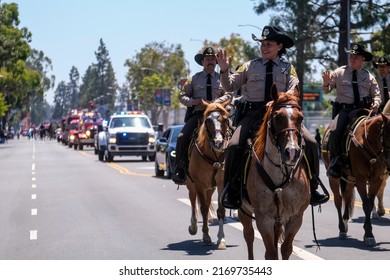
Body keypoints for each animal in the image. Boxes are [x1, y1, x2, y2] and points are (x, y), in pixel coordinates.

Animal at [187, 99, 232, 249]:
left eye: (225, 120)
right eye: (208, 121)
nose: (218, 142)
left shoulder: (221, 183)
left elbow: (220, 211)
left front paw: (221, 239)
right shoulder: (199, 183)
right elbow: (204, 210)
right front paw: (206, 236)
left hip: (210, 187)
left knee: (205, 202)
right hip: (191, 184)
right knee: (193, 201)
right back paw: (193, 227)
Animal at [239, 86, 310, 260]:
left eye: (301, 117)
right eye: (277, 117)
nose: (292, 152)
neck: (280, 173)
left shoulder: (295, 217)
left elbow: (286, 249)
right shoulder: (263, 218)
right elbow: (271, 253)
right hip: (244, 210)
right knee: (249, 235)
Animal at [322, 107, 390, 245]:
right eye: (387, 134)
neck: (367, 141)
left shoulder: (376, 179)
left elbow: (370, 202)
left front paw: (367, 232)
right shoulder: (361, 179)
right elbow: (366, 204)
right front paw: (369, 234)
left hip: (349, 178)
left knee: (347, 197)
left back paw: (345, 222)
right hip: (333, 178)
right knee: (338, 200)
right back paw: (342, 229)